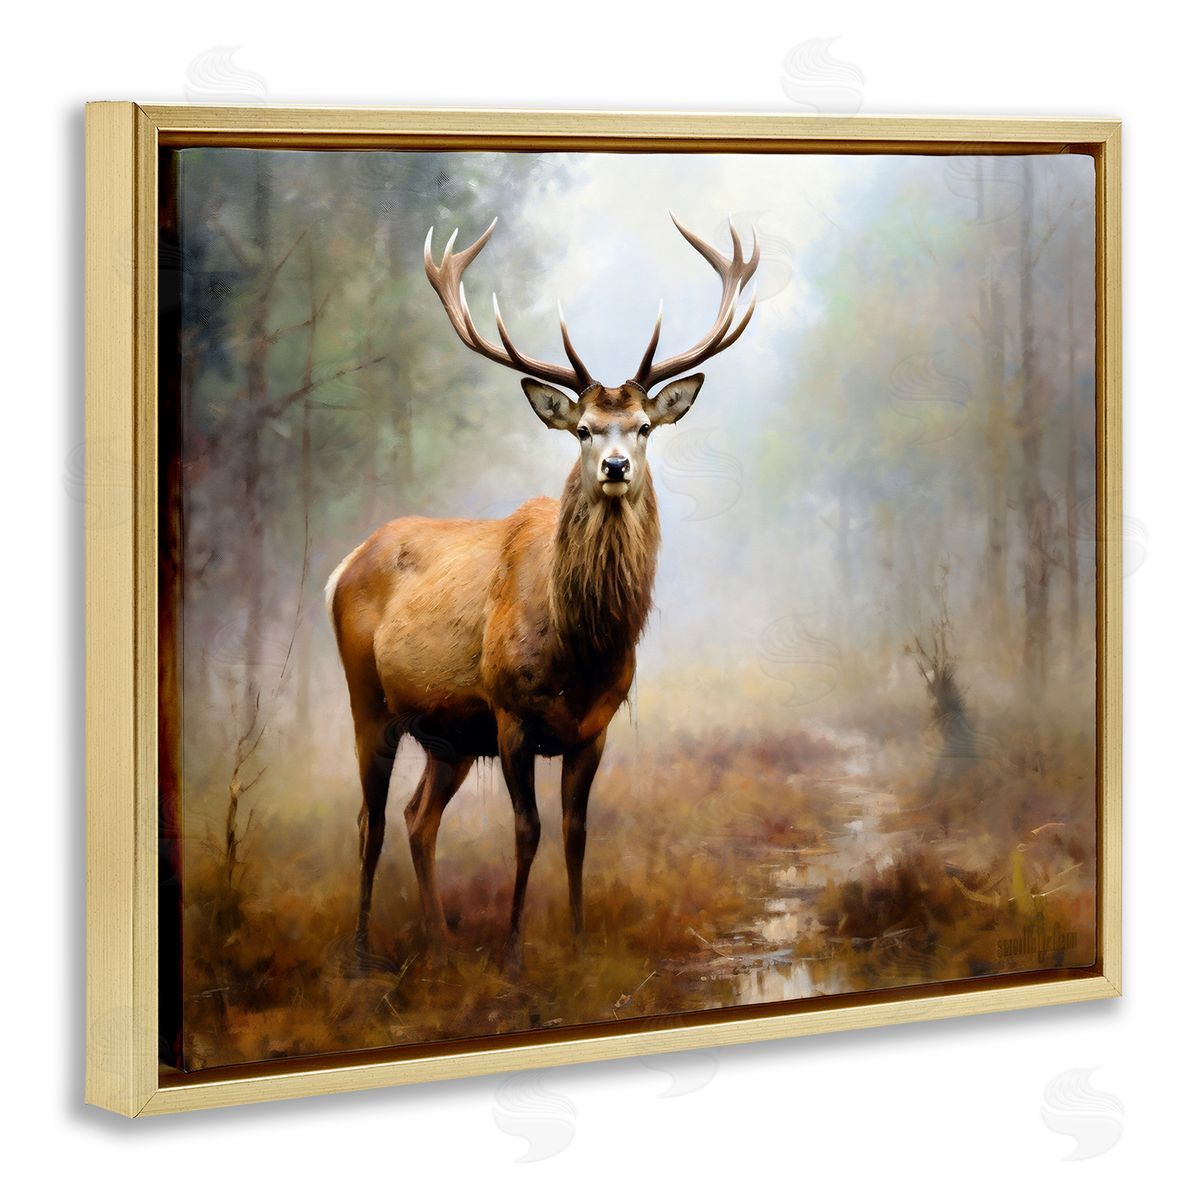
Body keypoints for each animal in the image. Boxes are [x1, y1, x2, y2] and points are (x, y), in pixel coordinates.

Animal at [327, 213, 758, 969]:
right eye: (582, 429)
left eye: (644, 427)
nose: (614, 466)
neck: (578, 653)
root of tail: (344, 564)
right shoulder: (510, 715)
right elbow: (526, 831)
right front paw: (513, 955)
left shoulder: (595, 727)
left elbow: (576, 831)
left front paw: (581, 942)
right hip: (368, 697)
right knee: (369, 819)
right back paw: (359, 954)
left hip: (447, 736)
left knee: (417, 817)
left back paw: (439, 939)